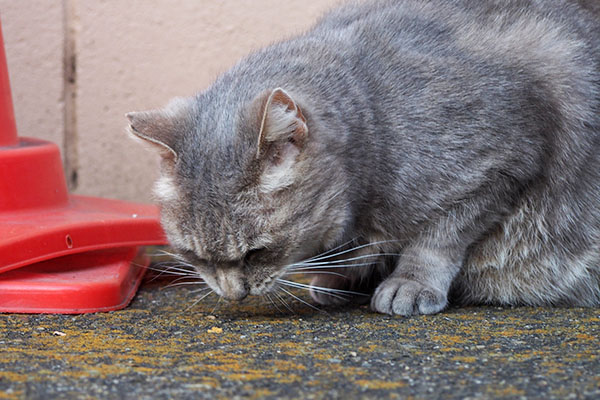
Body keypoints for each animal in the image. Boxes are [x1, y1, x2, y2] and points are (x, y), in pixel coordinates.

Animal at [127, 0, 600, 316]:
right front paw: (338, 275)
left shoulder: (504, 162)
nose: (233, 294)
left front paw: (409, 281)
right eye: (194, 256)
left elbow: (438, 238)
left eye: (257, 253)